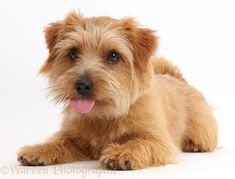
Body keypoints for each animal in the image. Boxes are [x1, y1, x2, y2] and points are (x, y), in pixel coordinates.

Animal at [17, 11, 218, 170]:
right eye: (73, 52)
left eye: (113, 56)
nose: (82, 85)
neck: (104, 116)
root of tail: (176, 78)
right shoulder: (72, 135)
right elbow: (58, 141)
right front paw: (38, 149)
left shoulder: (158, 140)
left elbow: (139, 142)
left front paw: (122, 153)